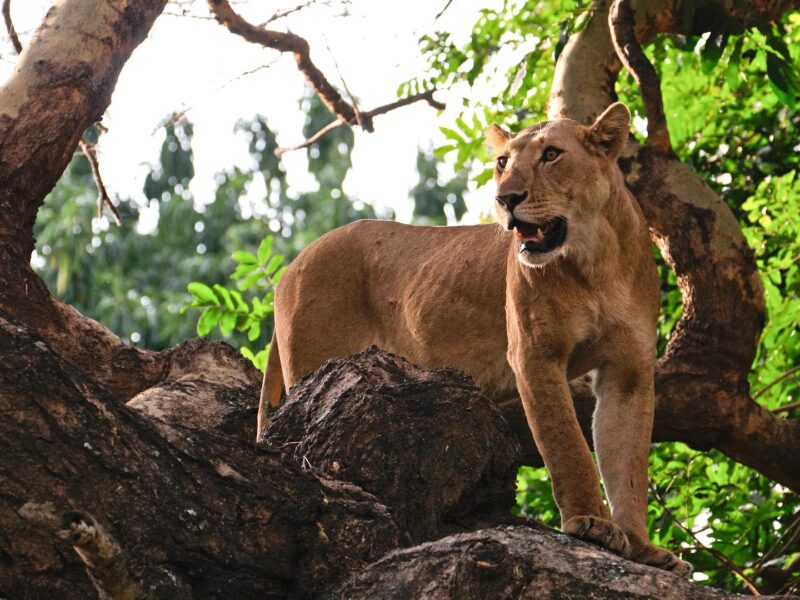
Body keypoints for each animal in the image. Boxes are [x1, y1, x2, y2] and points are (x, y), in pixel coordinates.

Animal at [256, 103, 691, 575]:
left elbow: (627, 461)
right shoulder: (534, 354)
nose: (505, 199)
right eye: (503, 162)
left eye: (551, 155)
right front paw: (590, 523)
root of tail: (292, 266)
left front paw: (642, 548)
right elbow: (568, 445)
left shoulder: (628, 370)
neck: (595, 259)